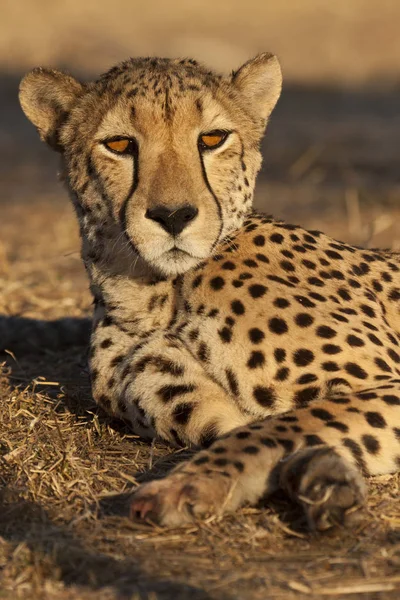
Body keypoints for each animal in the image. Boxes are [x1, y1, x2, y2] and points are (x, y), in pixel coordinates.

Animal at [19, 52, 400, 528]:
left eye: (213, 139)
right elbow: (264, 430)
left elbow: (278, 426)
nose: (173, 215)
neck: (154, 296)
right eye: (120, 145)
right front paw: (325, 476)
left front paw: (186, 485)